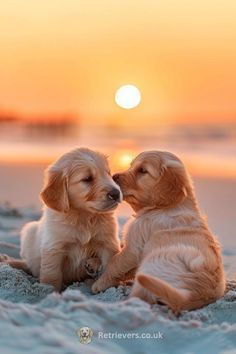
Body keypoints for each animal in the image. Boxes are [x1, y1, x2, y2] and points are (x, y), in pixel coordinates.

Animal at [1, 147, 122, 290]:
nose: (116, 193)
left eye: (108, 173)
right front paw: (49, 290)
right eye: (87, 179)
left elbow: (110, 265)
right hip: (29, 232)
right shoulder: (54, 247)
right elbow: (51, 274)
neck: (83, 216)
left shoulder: (108, 243)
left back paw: (92, 265)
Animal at [91, 151, 225, 314]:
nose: (114, 176)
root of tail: (199, 293)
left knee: (140, 297)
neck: (165, 206)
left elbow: (114, 262)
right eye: (131, 166)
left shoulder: (134, 247)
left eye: (143, 170)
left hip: (151, 265)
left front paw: (100, 283)